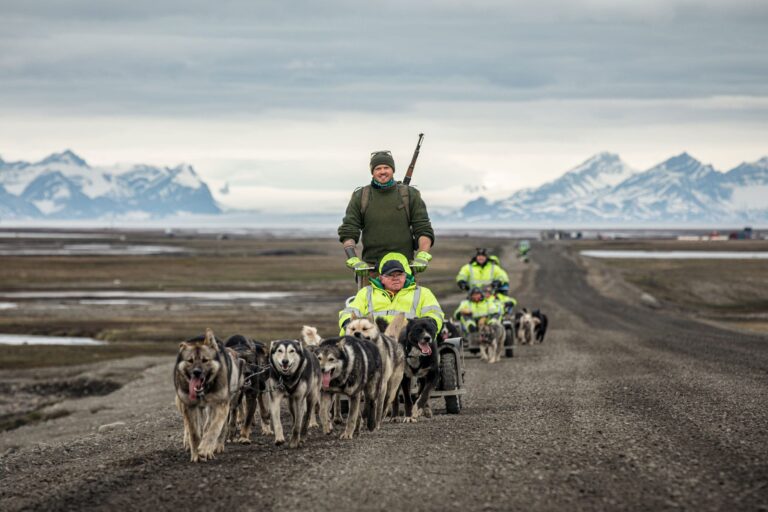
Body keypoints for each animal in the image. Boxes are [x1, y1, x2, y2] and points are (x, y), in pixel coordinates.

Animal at [174, 328, 243, 464]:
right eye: (190, 360)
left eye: (205, 360)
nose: (196, 372)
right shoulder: (189, 407)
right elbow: (194, 433)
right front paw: (196, 453)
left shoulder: (220, 405)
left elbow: (214, 429)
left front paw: (206, 449)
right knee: (190, 425)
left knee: (216, 427)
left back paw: (216, 446)